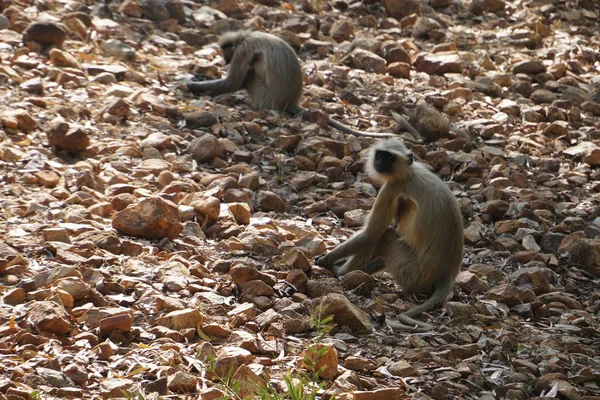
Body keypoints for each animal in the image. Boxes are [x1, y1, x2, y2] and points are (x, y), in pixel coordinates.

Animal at [186, 31, 422, 141]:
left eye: (226, 53)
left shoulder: (243, 50)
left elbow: (233, 82)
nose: (225, 60)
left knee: (249, 75)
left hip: (262, 93)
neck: (245, 36)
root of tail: (290, 100)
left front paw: (193, 85)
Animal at [316, 139, 466, 332]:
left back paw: (341, 272)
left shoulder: (392, 188)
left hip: (411, 273)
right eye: (380, 155)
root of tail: (447, 274)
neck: (410, 172)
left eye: (389, 158)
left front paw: (326, 260)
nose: (380, 162)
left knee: (385, 236)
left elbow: (371, 235)